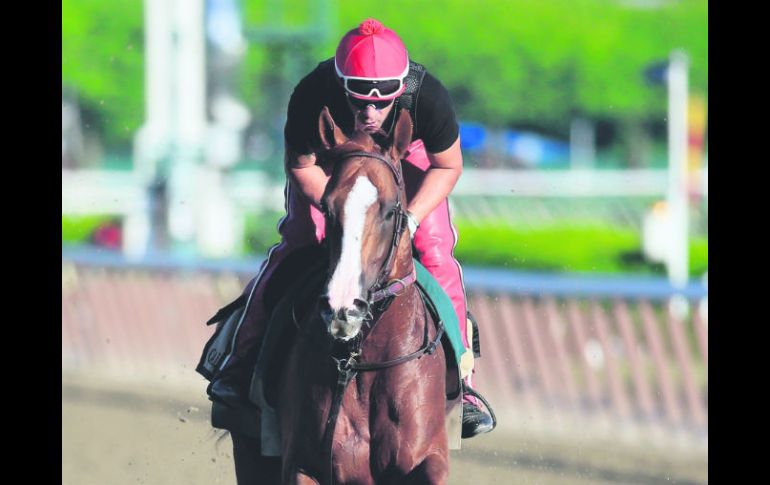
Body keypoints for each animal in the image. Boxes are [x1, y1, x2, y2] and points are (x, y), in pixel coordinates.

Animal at [276, 107, 448, 484]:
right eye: (326, 207)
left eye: (390, 210)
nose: (343, 308)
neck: (358, 364)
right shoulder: (303, 462)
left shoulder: (428, 455)